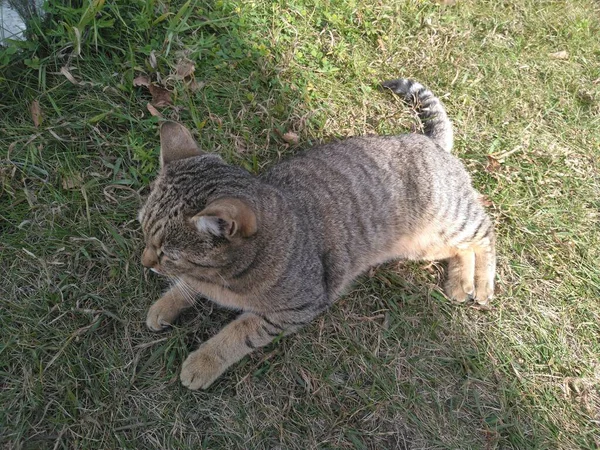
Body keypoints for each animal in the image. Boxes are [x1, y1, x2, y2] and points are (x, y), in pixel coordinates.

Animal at [137, 78, 496, 390]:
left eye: (168, 252)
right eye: (144, 233)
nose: (145, 262)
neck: (225, 279)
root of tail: (429, 142)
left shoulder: (296, 309)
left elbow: (238, 333)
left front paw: (204, 362)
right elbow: (188, 285)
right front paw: (167, 304)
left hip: (451, 220)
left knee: (485, 234)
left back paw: (481, 284)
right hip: (422, 245)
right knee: (460, 248)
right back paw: (460, 283)